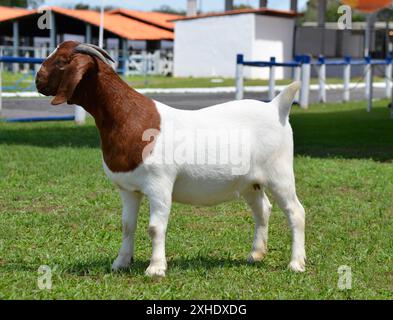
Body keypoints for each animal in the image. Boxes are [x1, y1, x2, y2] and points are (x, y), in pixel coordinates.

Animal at [36, 41, 306, 278]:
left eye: (61, 61)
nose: (37, 80)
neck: (128, 117)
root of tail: (275, 107)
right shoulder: (128, 189)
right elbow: (127, 225)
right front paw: (120, 263)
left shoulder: (160, 185)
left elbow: (155, 227)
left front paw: (155, 269)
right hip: (250, 182)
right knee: (262, 210)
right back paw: (255, 255)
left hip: (280, 173)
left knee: (296, 212)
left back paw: (296, 264)